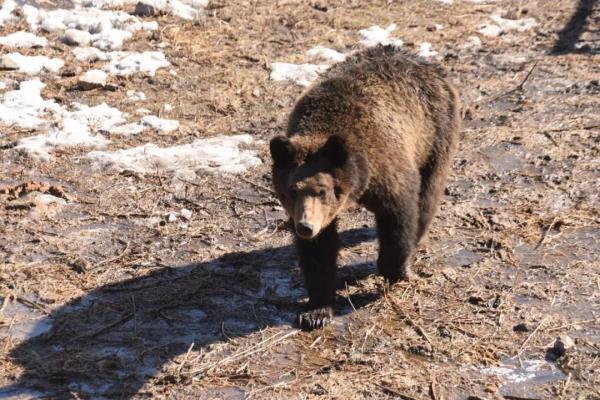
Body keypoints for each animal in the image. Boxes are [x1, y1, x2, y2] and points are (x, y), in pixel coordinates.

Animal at [270, 45, 462, 330]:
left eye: (323, 190)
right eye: (292, 190)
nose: (305, 227)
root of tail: (425, 62)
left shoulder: (387, 169)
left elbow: (399, 216)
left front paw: (397, 270)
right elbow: (319, 253)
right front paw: (316, 311)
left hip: (435, 136)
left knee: (427, 196)